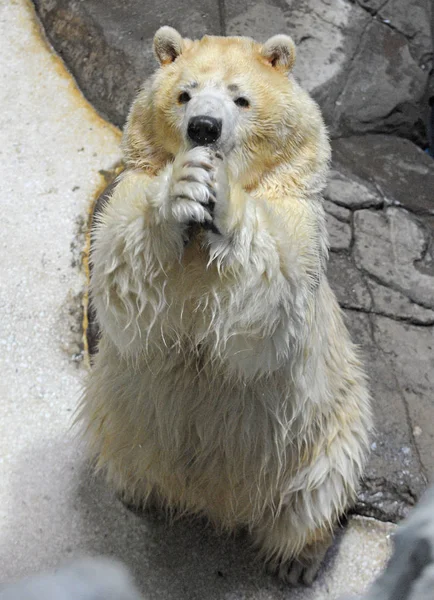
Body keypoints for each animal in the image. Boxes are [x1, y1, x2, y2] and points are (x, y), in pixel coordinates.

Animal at [79, 27, 372, 580]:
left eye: (241, 97)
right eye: (184, 93)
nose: (204, 129)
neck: (197, 246)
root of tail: (219, 506)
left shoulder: (297, 218)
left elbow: (268, 307)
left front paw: (222, 199)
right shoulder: (128, 191)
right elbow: (122, 282)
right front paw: (185, 187)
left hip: (326, 432)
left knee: (318, 494)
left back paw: (298, 560)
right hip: (117, 411)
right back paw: (136, 493)